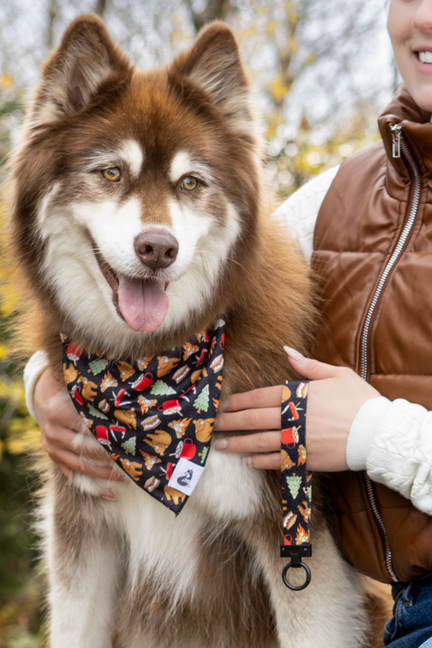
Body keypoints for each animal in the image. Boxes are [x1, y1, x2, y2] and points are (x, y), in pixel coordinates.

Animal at [7, 13, 368, 648]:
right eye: (111, 172)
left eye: (192, 183)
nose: (158, 247)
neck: (149, 374)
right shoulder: (83, 527)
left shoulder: (298, 546)